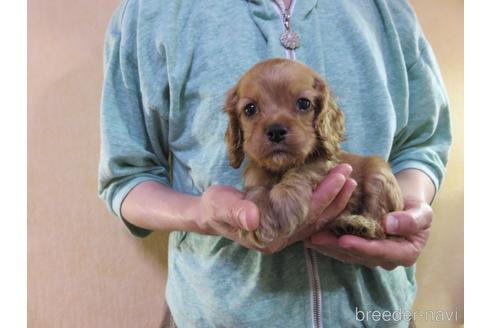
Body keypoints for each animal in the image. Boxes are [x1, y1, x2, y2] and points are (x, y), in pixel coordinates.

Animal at [225, 59, 402, 249]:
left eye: (304, 103)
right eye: (249, 109)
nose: (275, 131)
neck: (281, 167)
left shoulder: (324, 162)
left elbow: (301, 171)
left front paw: (285, 203)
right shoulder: (256, 172)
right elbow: (256, 188)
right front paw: (260, 217)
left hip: (378, 174)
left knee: (381, 226)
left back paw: (359, 225)